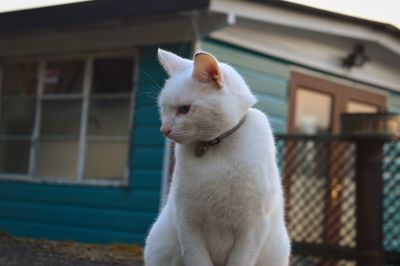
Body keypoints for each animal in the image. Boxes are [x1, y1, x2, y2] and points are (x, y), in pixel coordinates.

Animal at [145, 48, 290, 264]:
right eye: (163, 108)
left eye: (184, 109)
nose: (164, 130)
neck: (215, 146)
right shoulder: (187, 222)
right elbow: (198, 260)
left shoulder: (253, 227)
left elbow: (240, 261)